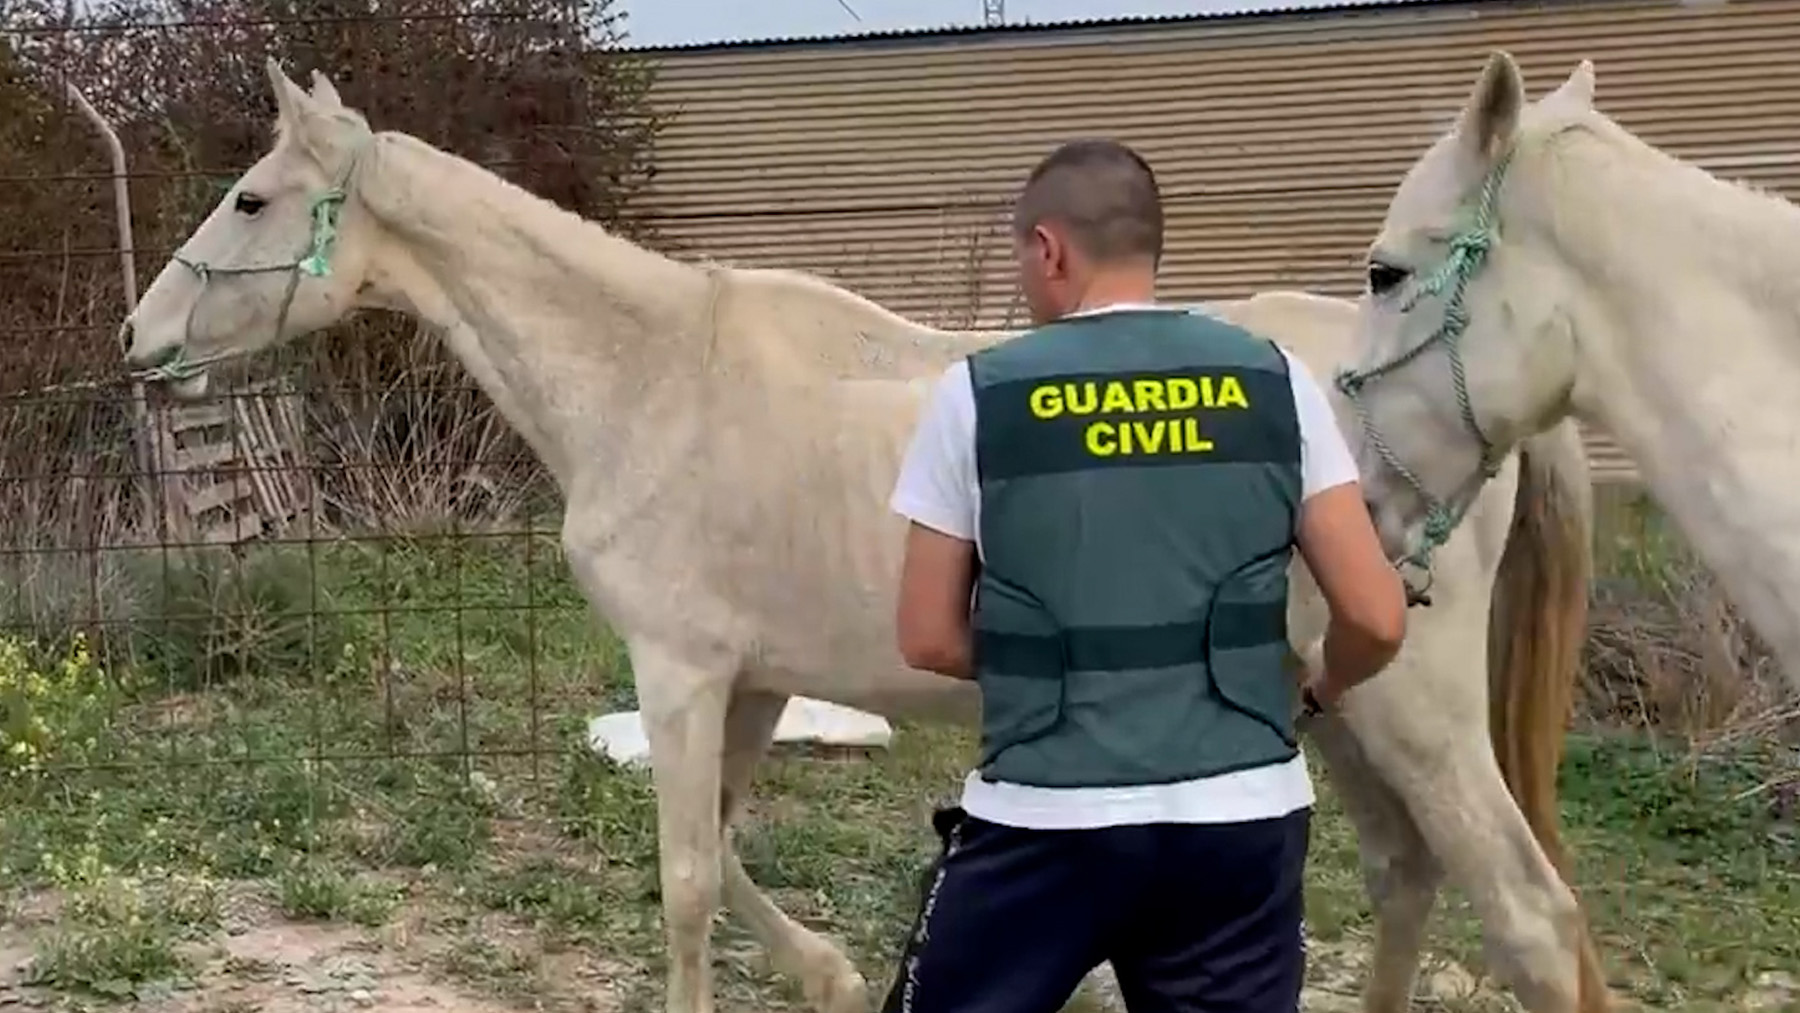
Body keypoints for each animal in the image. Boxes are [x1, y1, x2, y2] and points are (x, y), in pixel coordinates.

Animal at [116, 59, 1605, 1013]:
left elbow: (685, 882)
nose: (140, 339)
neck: (652, 374)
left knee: (1529, 919)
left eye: (251, 199)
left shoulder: (682, 670)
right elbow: (722, 852)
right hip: (1341, 706)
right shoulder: (754, 683)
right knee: (1407, 879)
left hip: (1416, 716)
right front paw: (830, 973)